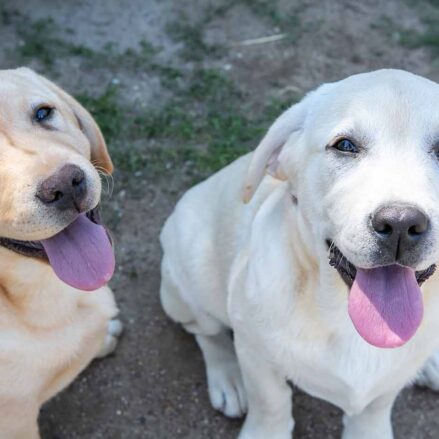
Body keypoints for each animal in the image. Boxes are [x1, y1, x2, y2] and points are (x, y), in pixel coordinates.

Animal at [162, 69, 439, 439]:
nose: (400, 223)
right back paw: (227, 378)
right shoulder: (256, 353)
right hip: (190, 269)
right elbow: (271, 401)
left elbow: (375, 407)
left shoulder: (388, 380)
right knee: (206, 331)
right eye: (345, 146)